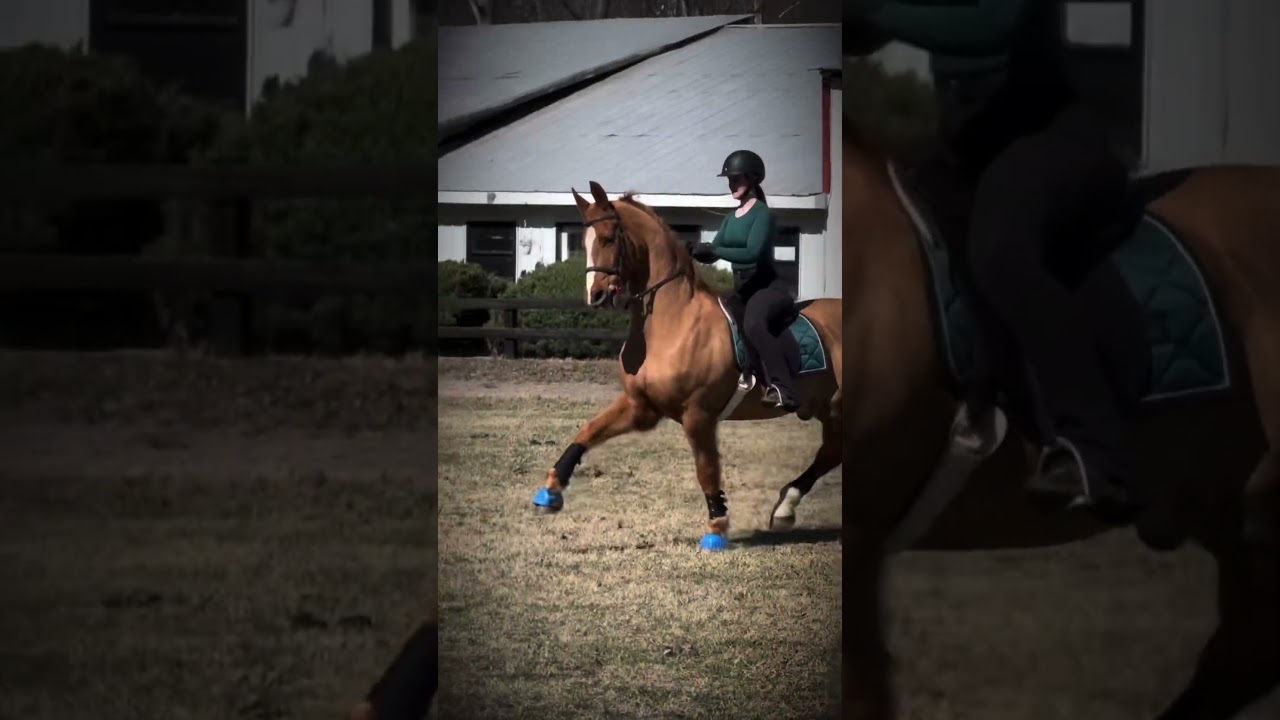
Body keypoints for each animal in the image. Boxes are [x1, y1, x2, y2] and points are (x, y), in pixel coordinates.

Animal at [529, 181, 844, 550]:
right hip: (827, 408)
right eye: (583, 240)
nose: (596, 296)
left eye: (607, 238)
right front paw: (550, 492)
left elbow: (706, 469)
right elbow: (587, 432)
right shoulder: (641, 407)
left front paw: (717, 528)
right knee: (830, 452)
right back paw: (785, 507)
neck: (673, 321)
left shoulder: (698, 415)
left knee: (830, 452)